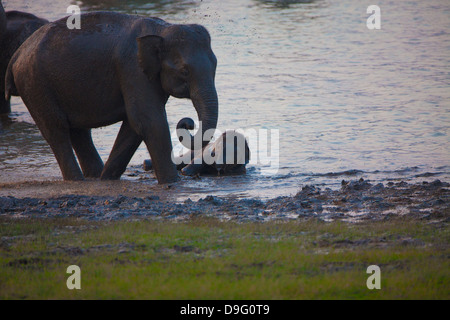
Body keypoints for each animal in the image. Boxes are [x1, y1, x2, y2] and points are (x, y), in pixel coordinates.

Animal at [5, 11, 218, 184]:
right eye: (184, 72)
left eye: (215, 65)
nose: (188, 122)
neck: (161, 29)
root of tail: (16, 54)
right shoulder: (132, 69)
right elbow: (148, 120)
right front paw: (172, 183)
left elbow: (134, 125)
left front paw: (108, 178)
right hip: (35, 85)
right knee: (56, 131)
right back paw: (76, 180)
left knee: (79, 132)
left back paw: (95, 176)